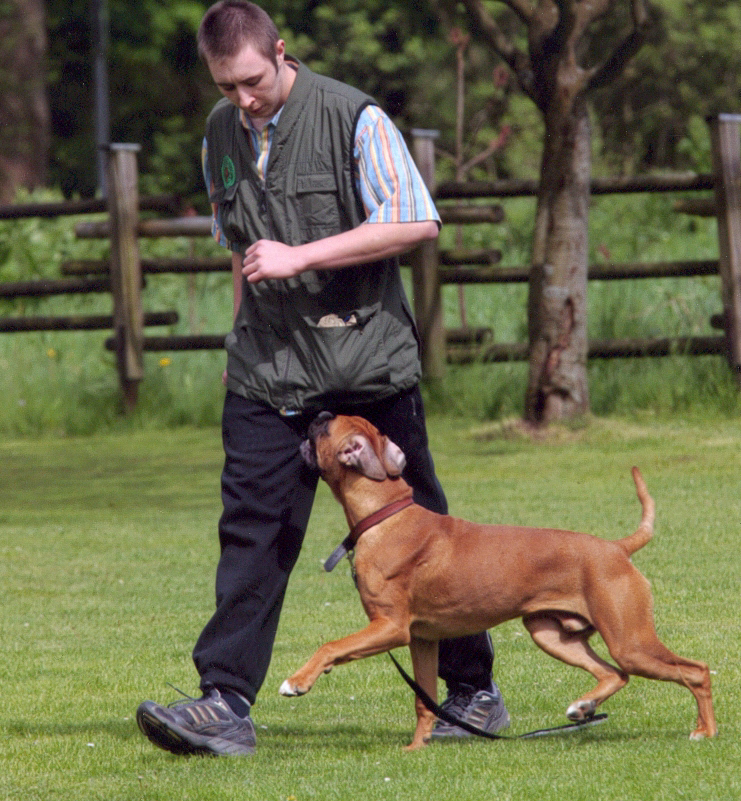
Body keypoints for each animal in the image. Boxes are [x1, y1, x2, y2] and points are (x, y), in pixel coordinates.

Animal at [280, 412, 712, 752]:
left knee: (696, 670)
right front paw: (417, 748)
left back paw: (704, 731)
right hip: (552, 635)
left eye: (324, 427)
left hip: (631, 642)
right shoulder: (421, 640)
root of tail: (616, 548)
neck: (385, 514)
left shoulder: (390, 628)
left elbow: (331, 646)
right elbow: (424, 700)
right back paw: (583, 707)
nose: (314, 414)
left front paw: (297, 682)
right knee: (614, 674)